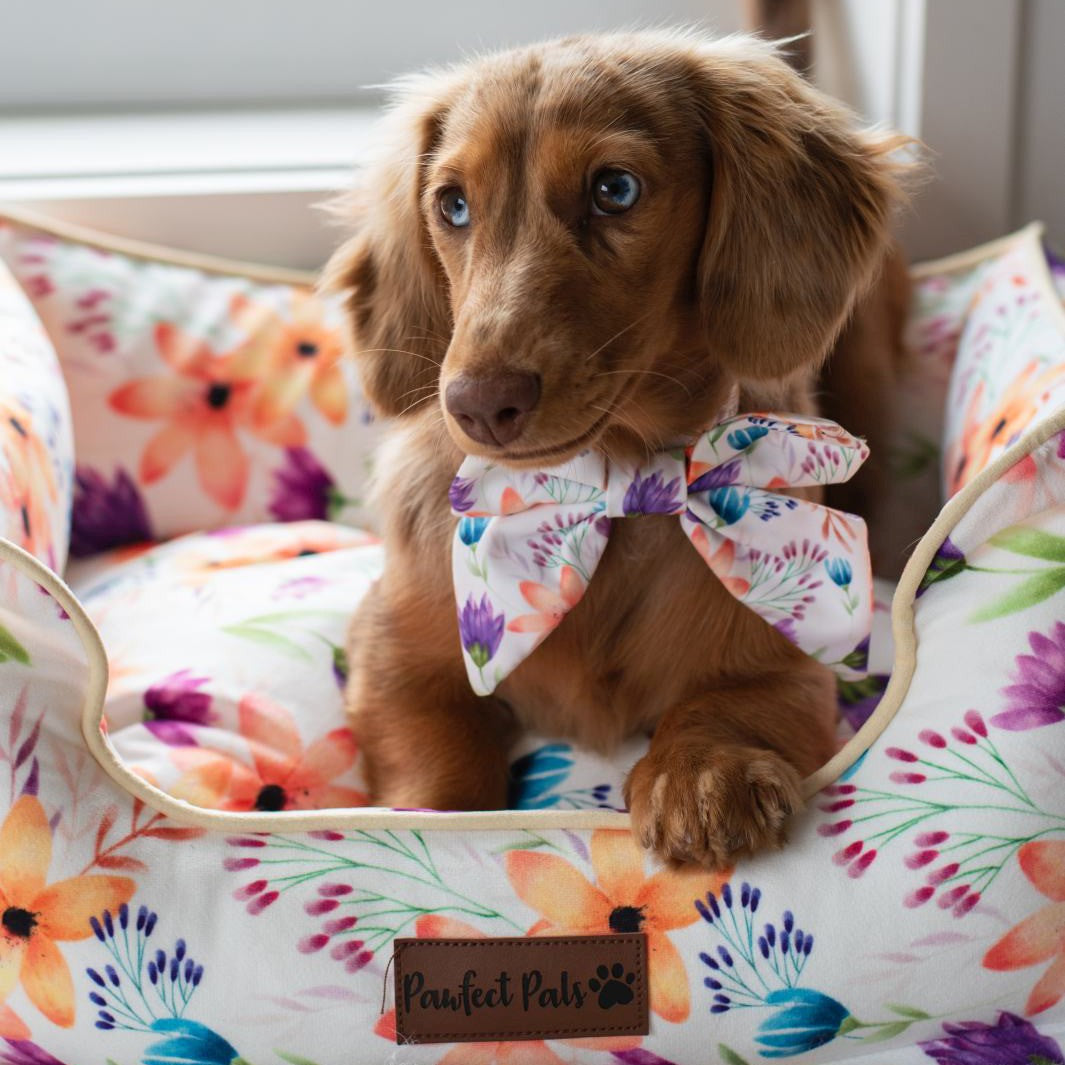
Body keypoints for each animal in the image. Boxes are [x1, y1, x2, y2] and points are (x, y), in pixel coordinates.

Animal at [321, 29, 907, 869]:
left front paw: (702, 775)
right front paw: (431, 830)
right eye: (453, 204)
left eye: (614, 189)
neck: (610, 480)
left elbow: (729, 706)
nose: (477, 404)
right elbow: (437, 770)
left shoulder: (786, 661)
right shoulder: (393, 656)